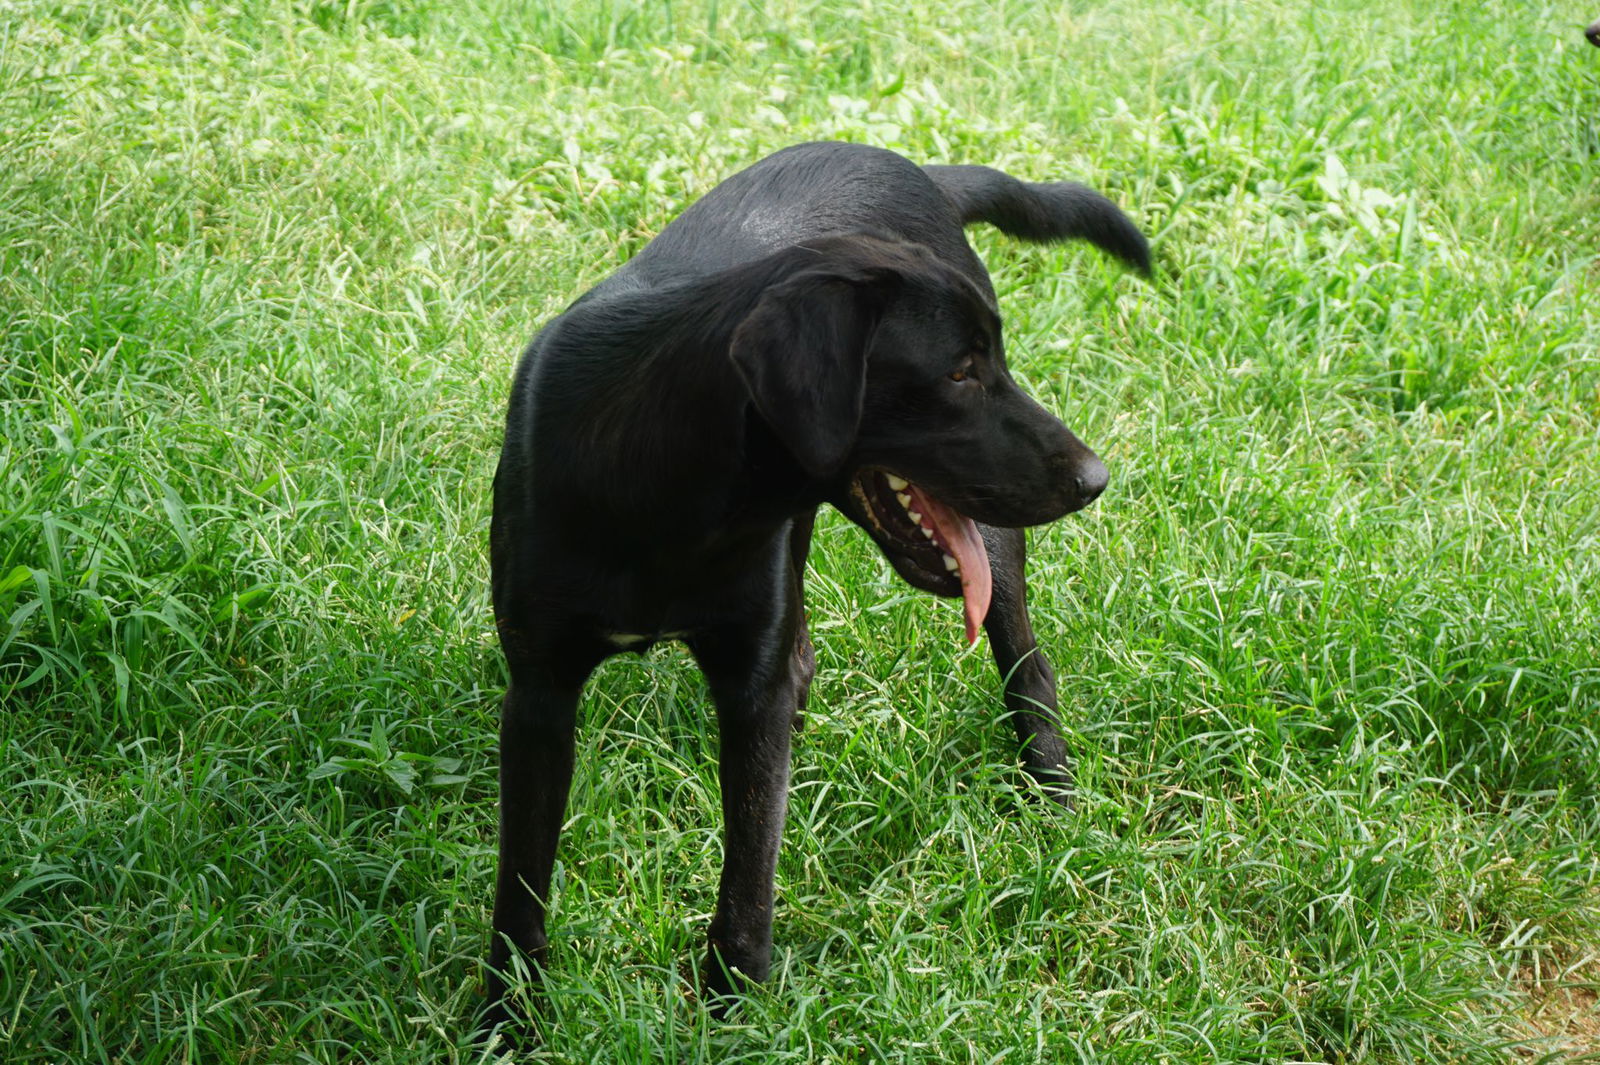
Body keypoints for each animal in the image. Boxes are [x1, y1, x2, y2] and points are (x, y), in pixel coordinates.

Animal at [486, 139, 1152, 1023]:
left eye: (995, 360)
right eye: (960, 372)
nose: (1095, 477)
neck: (670, 483)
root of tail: (918, 169)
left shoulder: (747, 678)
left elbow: (747, 873)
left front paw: (730, 1009)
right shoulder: (540, 691)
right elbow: (522, 880)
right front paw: (505, 1019)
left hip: (991, 546)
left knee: (1026, 663)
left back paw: (1053, 789)